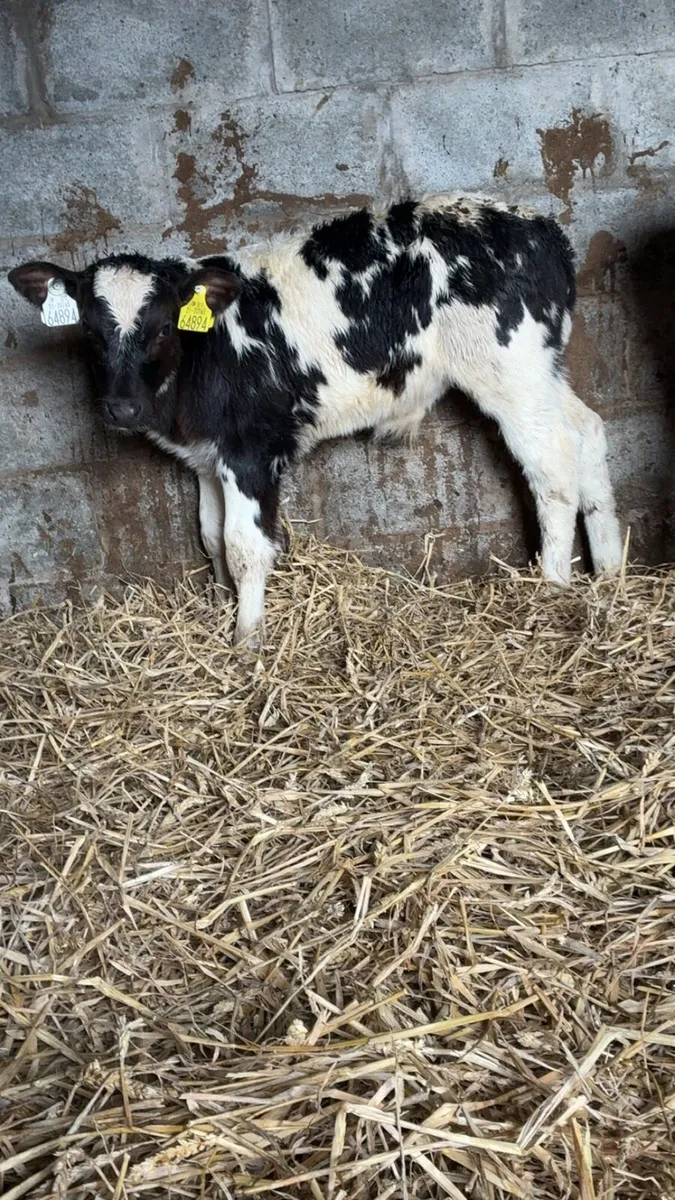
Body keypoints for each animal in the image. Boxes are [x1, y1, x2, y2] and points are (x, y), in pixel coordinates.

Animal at [8, 193, 623, 647]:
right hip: (542, 370)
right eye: (90, 331)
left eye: (161, 328)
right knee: (588, 430)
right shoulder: (207, 456)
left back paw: (552, 587)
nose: (120, 409)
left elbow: (244, 545)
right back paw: (611, 574)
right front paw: (220, 607)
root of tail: (539, 227)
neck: (204, 358)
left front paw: (247, 639)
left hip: (511, 373)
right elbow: (210, 536)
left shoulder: (251, 450)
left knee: (553, 467)